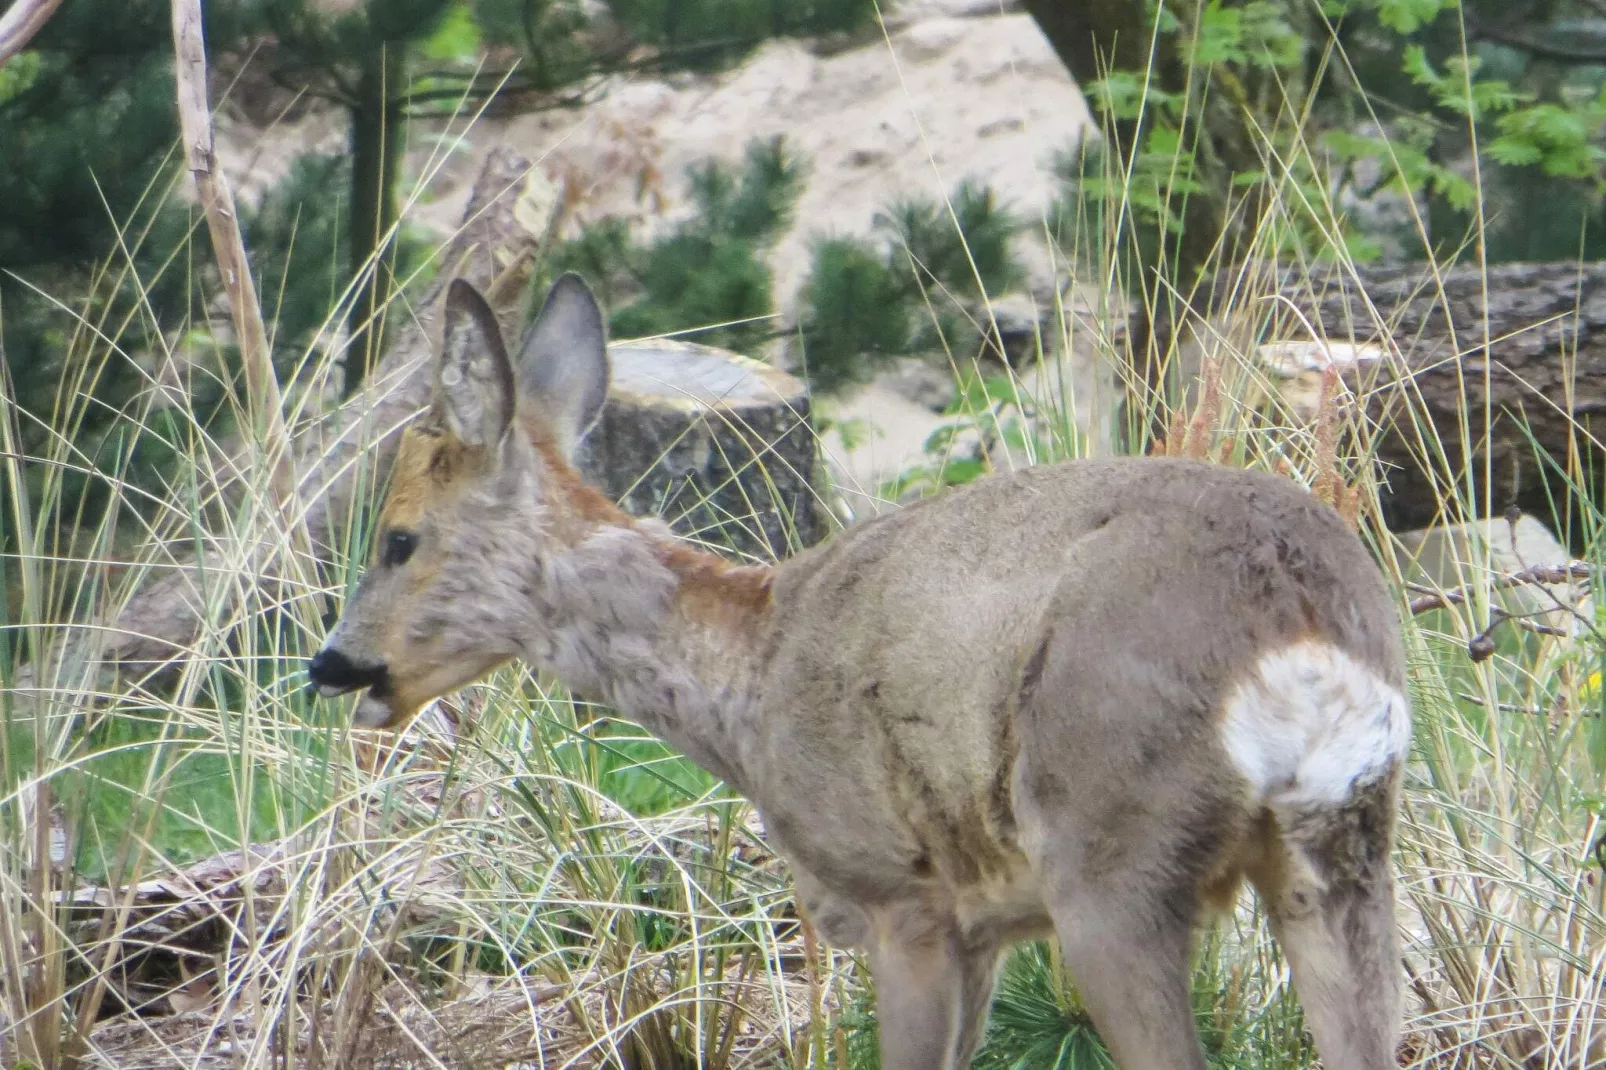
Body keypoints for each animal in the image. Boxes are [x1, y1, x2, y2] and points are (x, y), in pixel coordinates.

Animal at [306, 273, 1413, 1060]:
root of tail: (1299, 616)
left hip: (1111, 844)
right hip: (1344, 846)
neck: (751, 674)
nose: (334, 664)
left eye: (398, 539)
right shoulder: (982, 921)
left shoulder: (901, 892)